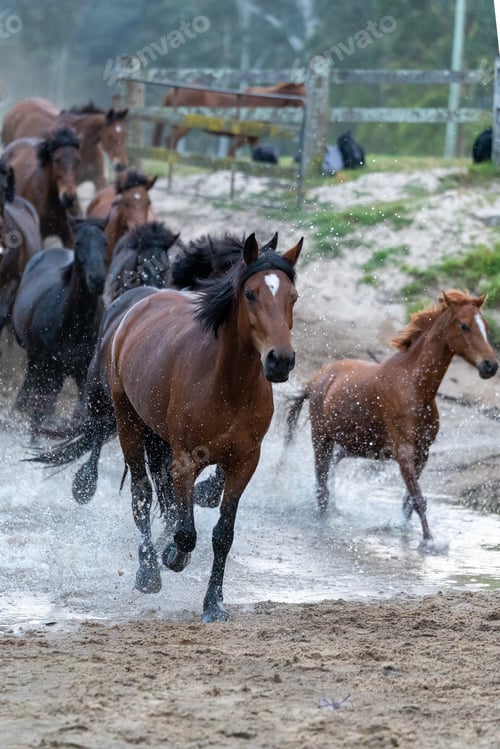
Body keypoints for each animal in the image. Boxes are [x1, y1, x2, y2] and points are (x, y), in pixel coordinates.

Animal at [12, 218, 107, 434]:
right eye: (78, 243)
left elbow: (78, 413)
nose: (97, 280)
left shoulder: (83, 373)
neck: (76, 327)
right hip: (36, 359)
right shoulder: (52, 370)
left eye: (105, 243)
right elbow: (44, 410)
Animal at [108, 233, 302, 620]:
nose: (281, 360)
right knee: (142, 493)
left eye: (294, 297)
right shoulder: (186, 458)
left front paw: (214, 603)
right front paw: (172, 555)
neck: (227, 385)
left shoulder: (244, 462)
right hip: (129, 422)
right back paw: (148, 569)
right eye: (251, 294)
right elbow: (186, 532)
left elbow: (222, 534)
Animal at [152, 81, 306, 157]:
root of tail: (173, 91)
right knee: (171, 139)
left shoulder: (253, 138)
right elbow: (230, 155)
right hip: (184, 125)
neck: (262, 104)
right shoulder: (240, 137)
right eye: (301, 94)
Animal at [285, 290, 498, 542]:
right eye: (465, 326)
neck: (414, 386)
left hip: (353, 445)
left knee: (332, 470)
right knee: (321, 486)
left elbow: (409, 502)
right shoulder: (403, 451)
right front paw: (429, 542)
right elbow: (418, 500)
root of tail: (318, 378)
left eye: (485, 325)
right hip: (321, 440)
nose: (490, 366)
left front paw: (407, 533)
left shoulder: (423, 453)